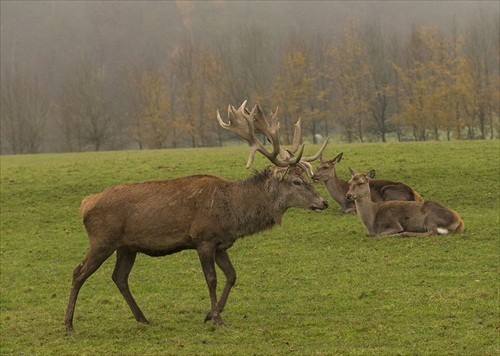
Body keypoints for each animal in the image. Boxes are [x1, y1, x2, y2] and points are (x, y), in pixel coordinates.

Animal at [63, 101, 328, 330]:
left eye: (305, 177)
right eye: (296, 182)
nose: (323, 202)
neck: (234, 212)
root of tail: (85, 203)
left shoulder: (221, 243)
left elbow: (232, 275)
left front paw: (210, 313)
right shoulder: (203, 238)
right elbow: (211, 278)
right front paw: (218, 319)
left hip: (126, 246)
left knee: (119, 277)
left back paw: (142, 318)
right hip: (102, 240)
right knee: (79, 272)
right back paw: (68, 324)